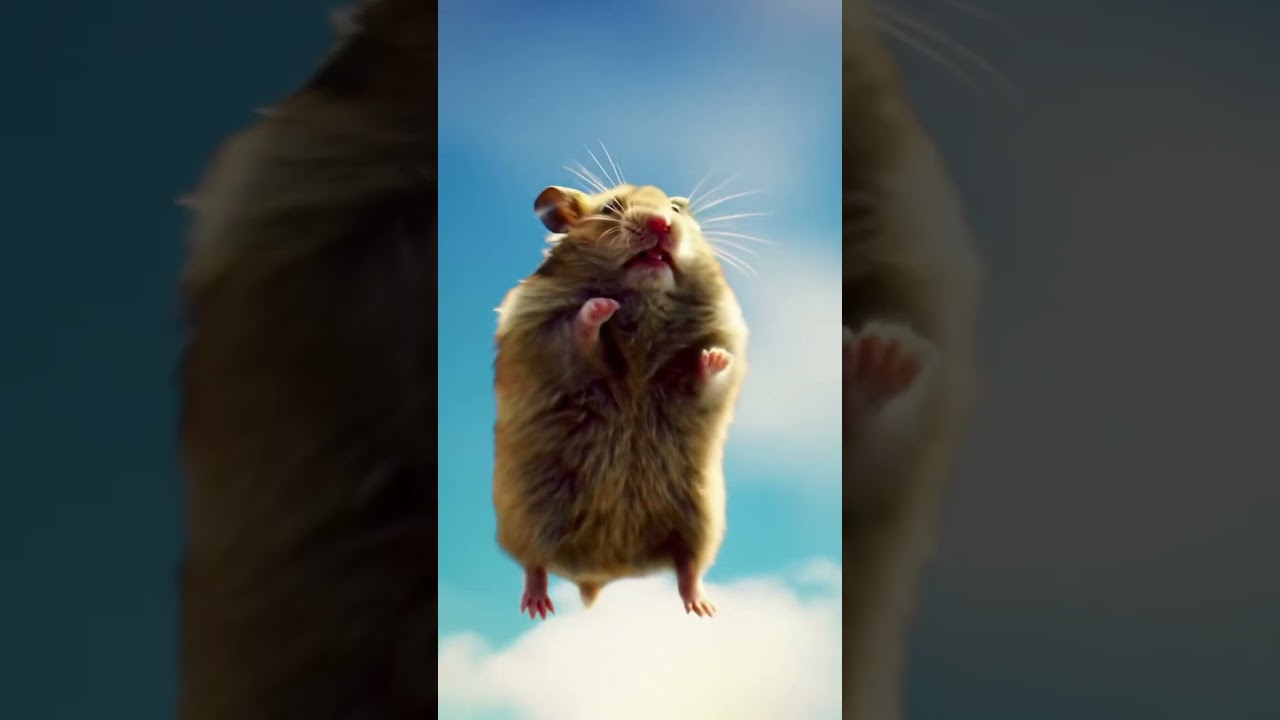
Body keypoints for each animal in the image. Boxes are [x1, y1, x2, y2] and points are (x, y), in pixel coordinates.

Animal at [492, 183, 749, 619]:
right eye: (612, 207)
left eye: (676, 209)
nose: (662, 224)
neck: (644, 311)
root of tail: (598, 573)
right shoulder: (547, 339)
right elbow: (579, 331)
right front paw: (602, 306)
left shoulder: (699, 380)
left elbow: (704, 377)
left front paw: (715, 357)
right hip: (527, 515)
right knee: (533, 563)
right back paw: (538, 607)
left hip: (702, 518)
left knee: (689, 565)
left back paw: (703, 607)